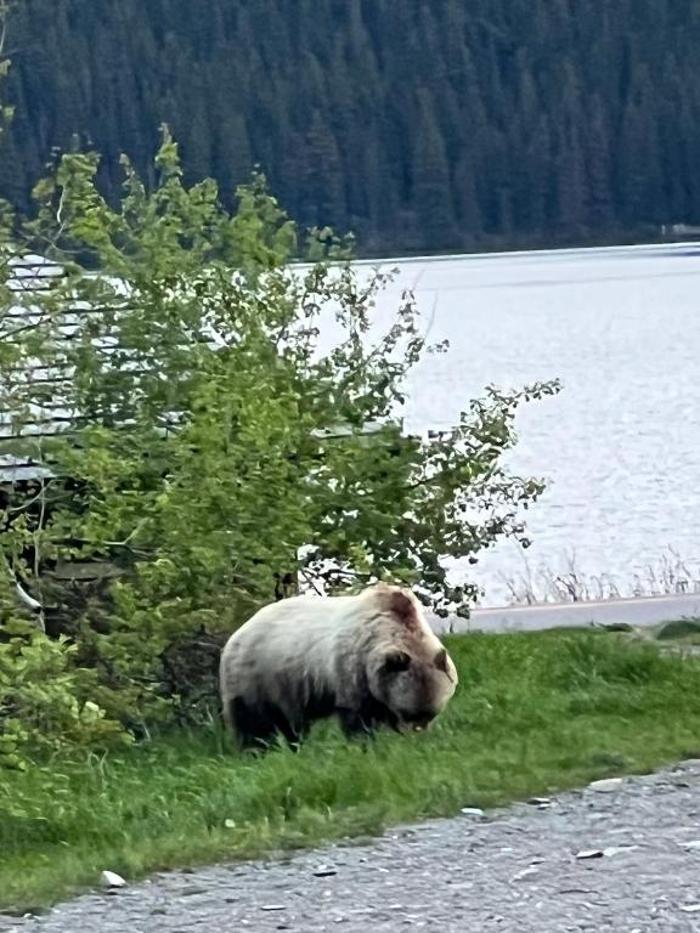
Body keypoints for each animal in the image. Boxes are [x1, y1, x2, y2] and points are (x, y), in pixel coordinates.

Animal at [219, 581, 458, 750]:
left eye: (430, 713)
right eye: (409, 712)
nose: (416, 732)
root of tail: (236, 634)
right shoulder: (352, 669)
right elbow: (357, 716)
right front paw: (365, 744)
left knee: (291, 725)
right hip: (256, 677)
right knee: (253, 723)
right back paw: (255, 750)